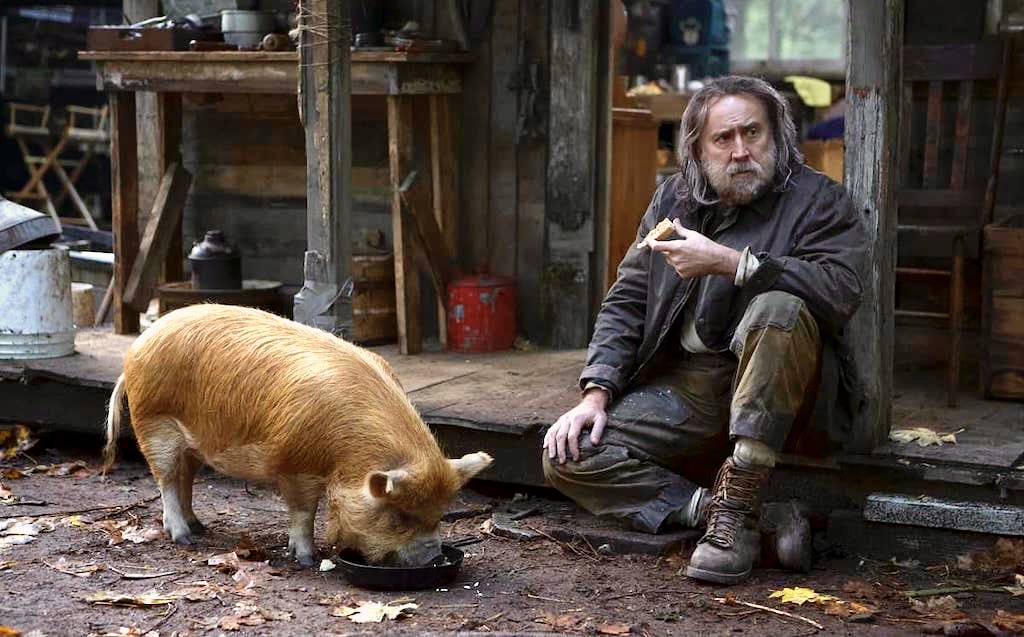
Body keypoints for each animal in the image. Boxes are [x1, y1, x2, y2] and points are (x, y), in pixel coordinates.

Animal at [102, 303, 493, 567]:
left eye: (439, 515)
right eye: (398, 518)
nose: (432, 558)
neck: (345, 453)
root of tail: (136, 348)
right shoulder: (294, 464)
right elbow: (304, 511)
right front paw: (306, 559)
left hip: (192, 444)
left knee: (185, 479)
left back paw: (200, 528)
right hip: (154, 423)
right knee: (166, 480)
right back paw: (184, 539)